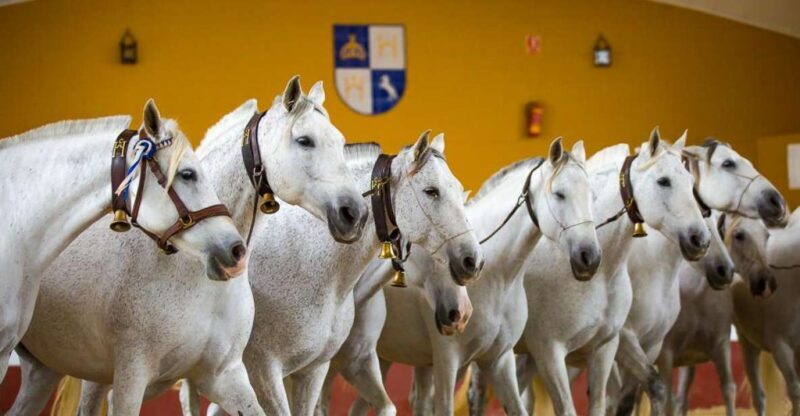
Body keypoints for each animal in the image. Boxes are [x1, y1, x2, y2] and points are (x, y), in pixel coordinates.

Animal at [341, 138, 601, 415]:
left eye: (591, 196)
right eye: (559, 194)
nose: (590, 257)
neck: (499, 279)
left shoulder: (499, 360)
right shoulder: (447, 360)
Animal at [512, 130, 711, 416]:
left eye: (689, 181)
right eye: (663, 181)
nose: (700, 240)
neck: (600, 274)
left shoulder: (612, 346)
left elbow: (635, 393)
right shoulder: (550, 349)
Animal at [657, 212, 776, 416]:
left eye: (766, 235)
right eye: (739, 235)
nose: (764, 282)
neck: (695, 293)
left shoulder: (720, 346)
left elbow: (728, 389)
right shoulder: (666, 354)